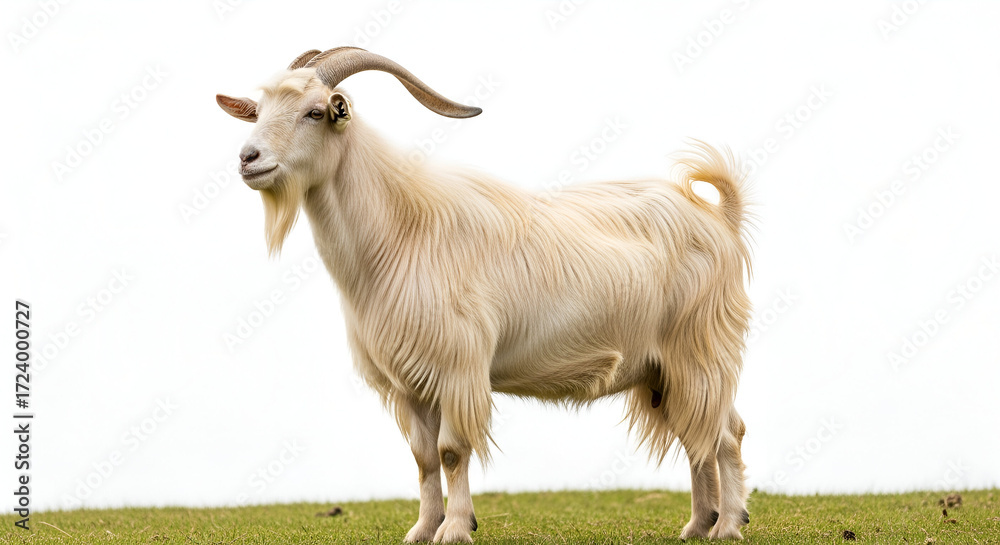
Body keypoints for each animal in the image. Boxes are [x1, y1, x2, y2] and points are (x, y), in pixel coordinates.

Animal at [217, 47, 753, 542]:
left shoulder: (459, 367)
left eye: (316, 111)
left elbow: (452, 452)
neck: (400, 232)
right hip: (668, 369)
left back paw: (728, 525)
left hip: (701, 351)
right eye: (258, 111)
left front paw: (455, 529)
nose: (248, 159)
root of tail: (717, 216)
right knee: (700, 435)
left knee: (725, 435)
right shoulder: (410, 383)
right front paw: (422, 530)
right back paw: (699, 525)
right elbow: (423, 459)